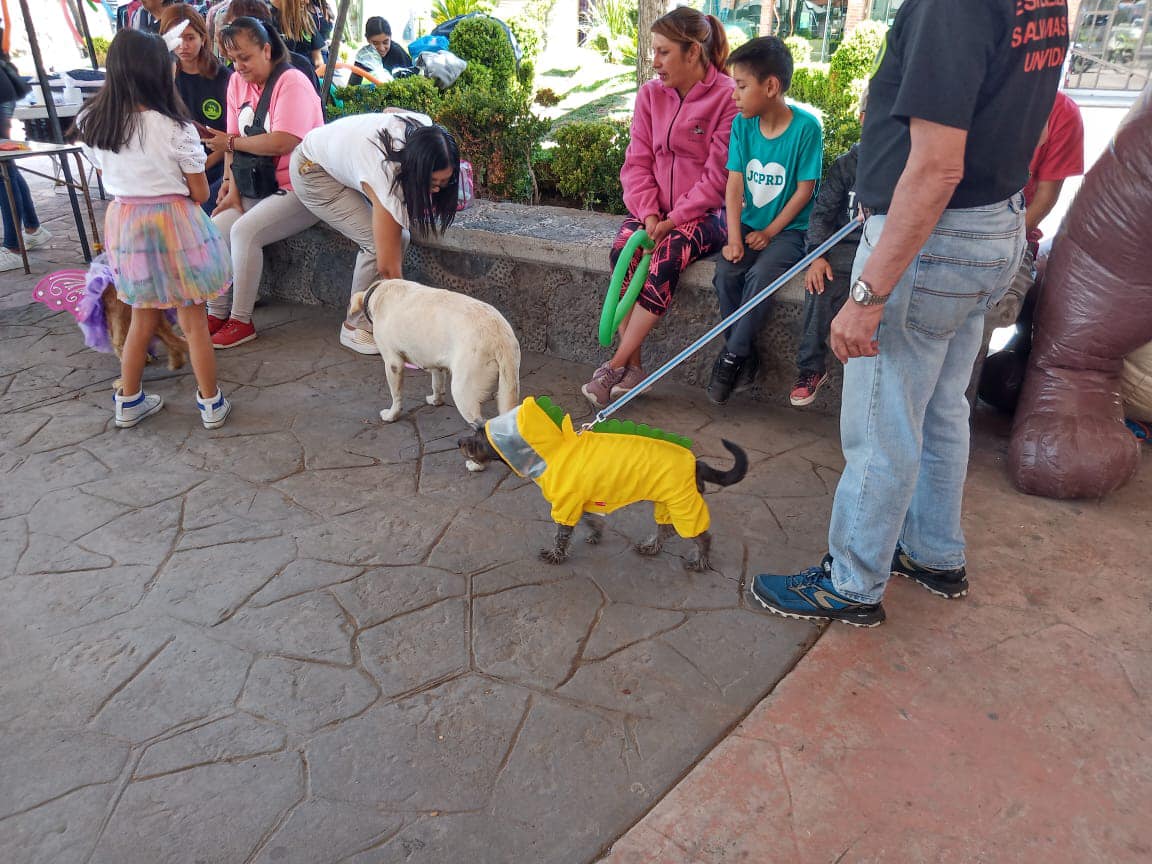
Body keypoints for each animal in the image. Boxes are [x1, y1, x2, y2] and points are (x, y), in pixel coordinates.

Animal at [343, 281, 520, 430]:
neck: (379, 292)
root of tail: (499, 336)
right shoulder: (436, 364)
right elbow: (437, 384)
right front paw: (436, 401)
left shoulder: (393, 363)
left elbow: (396, 395)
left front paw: (392, 415)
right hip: (508, 384)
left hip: (463, 391)